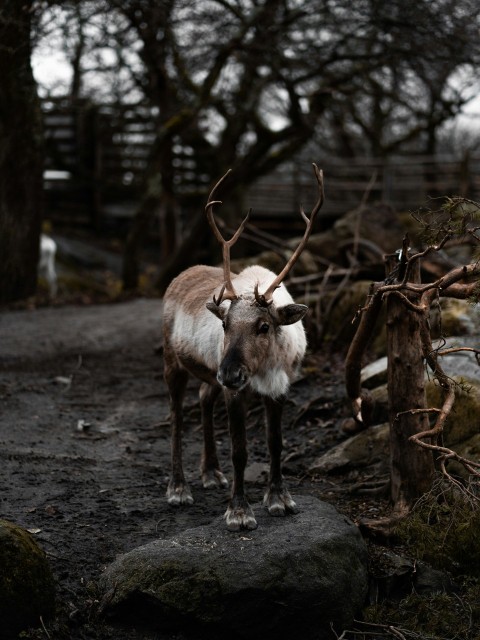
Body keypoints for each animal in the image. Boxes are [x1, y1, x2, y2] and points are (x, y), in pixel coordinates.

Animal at [163, 164, 324, 531]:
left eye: (263, 326)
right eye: (225, 324)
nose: (230, 373)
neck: (265, 368)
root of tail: (180, 275)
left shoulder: (281, 386)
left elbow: (276, 443)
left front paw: (280, 499)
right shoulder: (236, 391)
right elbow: (240, 450)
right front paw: (239, 512)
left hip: (209, 374)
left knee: (203, 398)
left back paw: (211, 473)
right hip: (173, 362)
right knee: (176, 417)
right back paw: (179, 488)